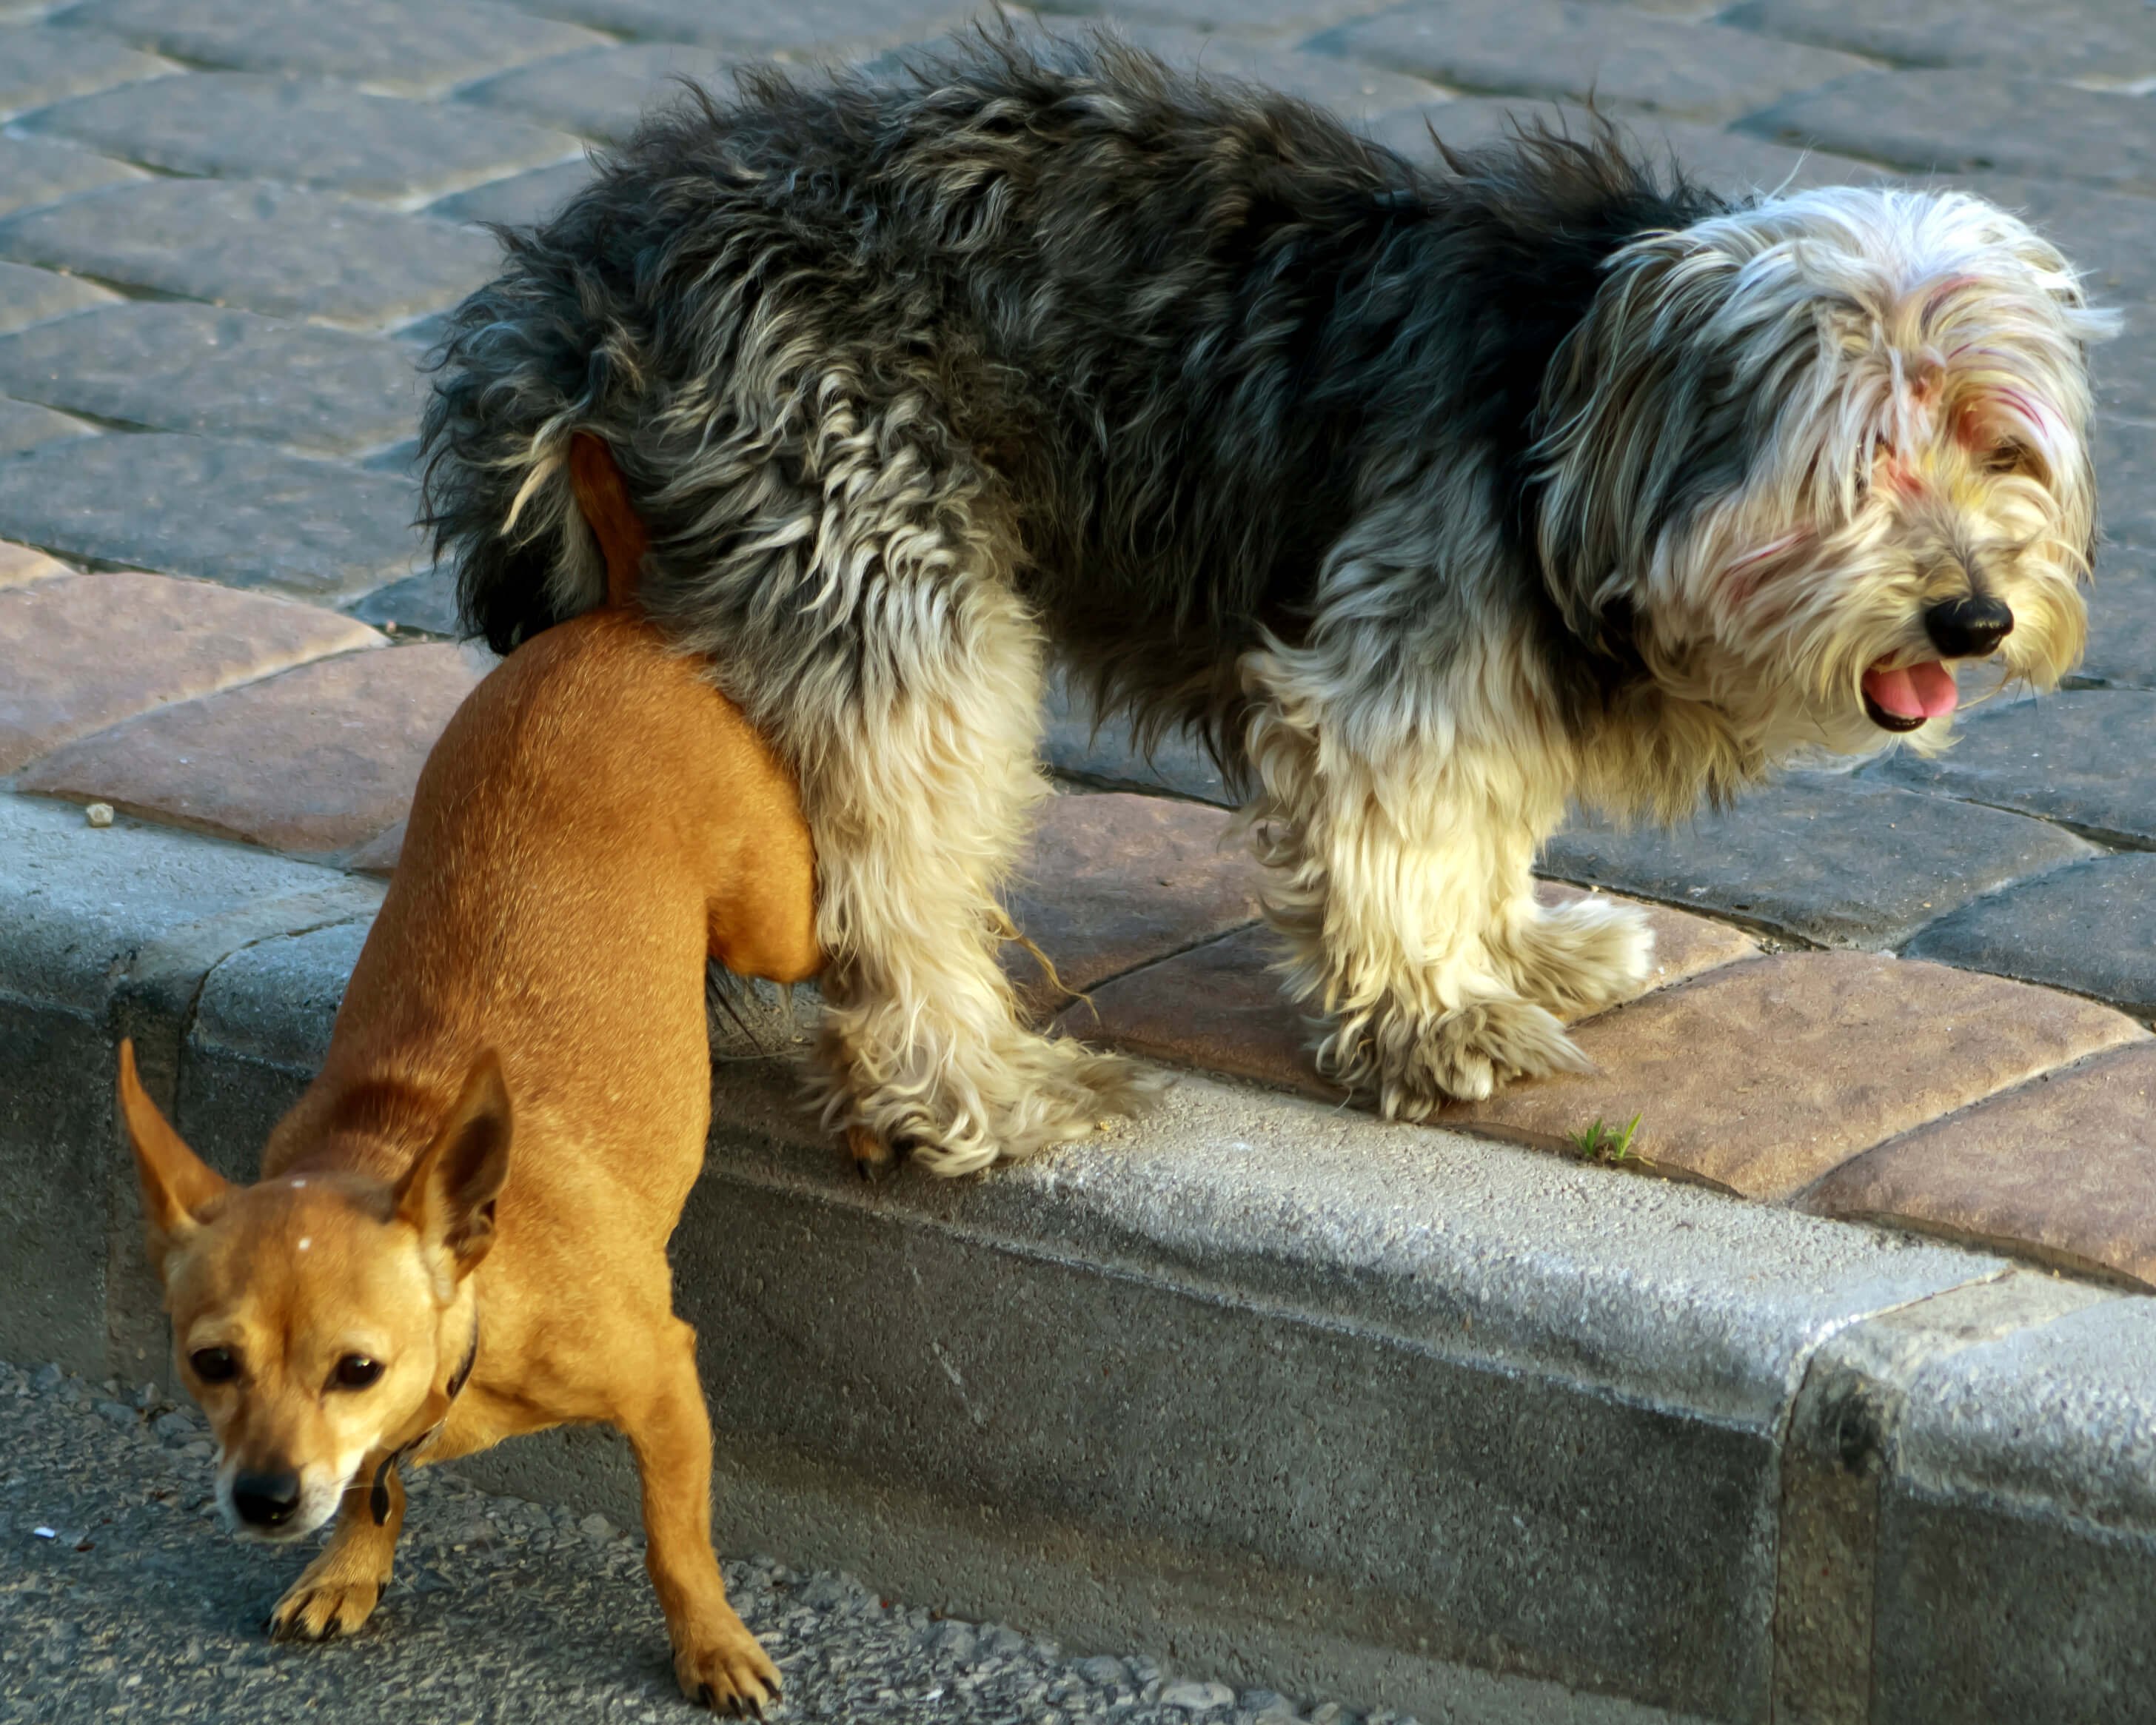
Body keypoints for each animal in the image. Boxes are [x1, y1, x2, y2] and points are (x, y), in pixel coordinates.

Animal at [122, 442, 819, 1707]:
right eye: (209, 1364)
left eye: (357, 1368)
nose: (264, 1498)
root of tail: (621, 620)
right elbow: (374, 1488)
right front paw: (351, 1562)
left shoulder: (667, 1386)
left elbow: (676, 1538)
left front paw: (710, 1641)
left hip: (774, 927)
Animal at [416, 33, 2104, 1173]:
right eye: (1859, 461)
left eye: (1999, 446)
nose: (1973, 618)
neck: (1561, 402)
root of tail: (580, 278)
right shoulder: (1399, 653)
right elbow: (1399, 833)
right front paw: (1434, 1020)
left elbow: (1481, 822)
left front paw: (1520, 948)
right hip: (884, 576)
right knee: (889, 879)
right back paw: (981, 1092)